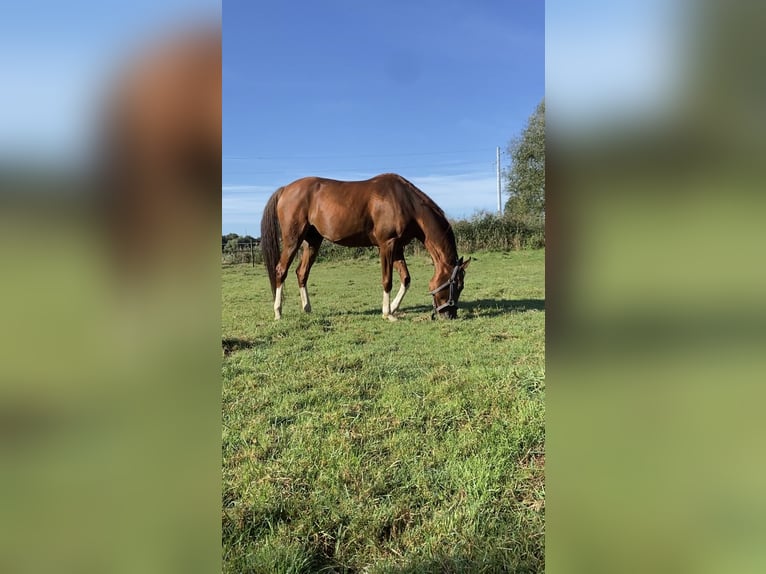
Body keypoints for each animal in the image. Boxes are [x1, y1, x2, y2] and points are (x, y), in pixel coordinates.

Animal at [260, 173, 472, 322]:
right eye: (457, 285)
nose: (450, 315)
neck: (405, 202)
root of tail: (285, 189)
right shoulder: (386, 245)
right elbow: (387, 280)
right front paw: (388, 313)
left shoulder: (397, 248)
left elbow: (406, 279)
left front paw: (394, 308)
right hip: (292, 240)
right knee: (281, 270)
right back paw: (278, 312)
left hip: (312, 242)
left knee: (301, 273)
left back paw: (307, 308)